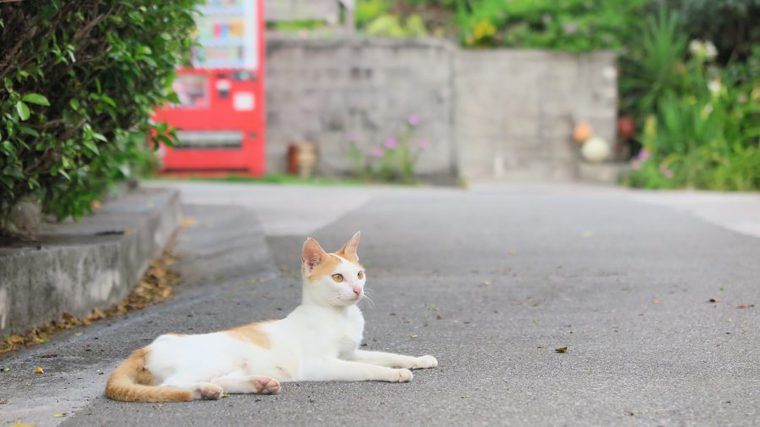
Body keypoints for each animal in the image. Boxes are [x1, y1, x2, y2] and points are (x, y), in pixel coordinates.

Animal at [107, 232, 440, 402]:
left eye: (359, 274)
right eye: (337, 277)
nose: (358, 289)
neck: (339, 315)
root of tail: (148, 346)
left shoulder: (351, 353)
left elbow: (387, 355)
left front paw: (418, 360)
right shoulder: (321, 364)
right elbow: (367, 369)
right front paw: (396, 374)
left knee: (218, 380)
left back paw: (254, 385)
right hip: (208, 360)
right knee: (171, 385)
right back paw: (204, 391)